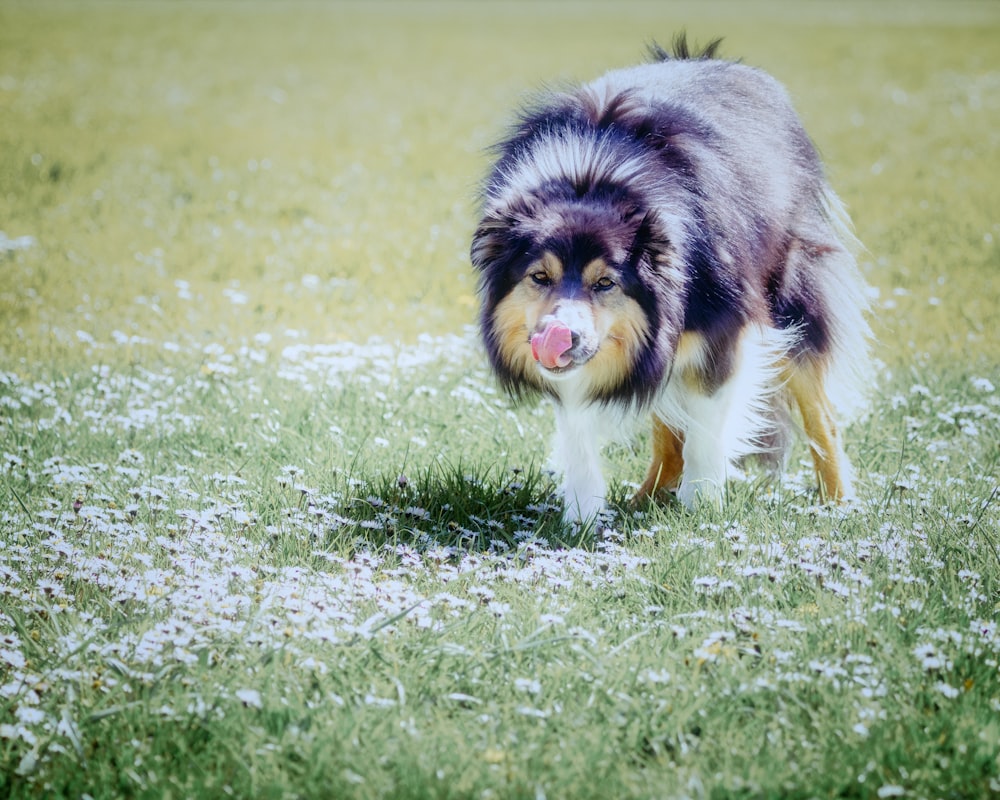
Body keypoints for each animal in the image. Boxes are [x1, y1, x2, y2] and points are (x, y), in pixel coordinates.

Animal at [468, 36, 868, 524]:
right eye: (539, 276)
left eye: (606, 283)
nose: (563, 337)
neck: (591, 178)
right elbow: (579, 425)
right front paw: (581, 518)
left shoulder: (721, 324)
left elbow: (707, 424)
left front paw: (704, 510)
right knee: (666, 424)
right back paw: (646, 499)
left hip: (791, 289)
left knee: (819, 412)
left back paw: (839, 504)